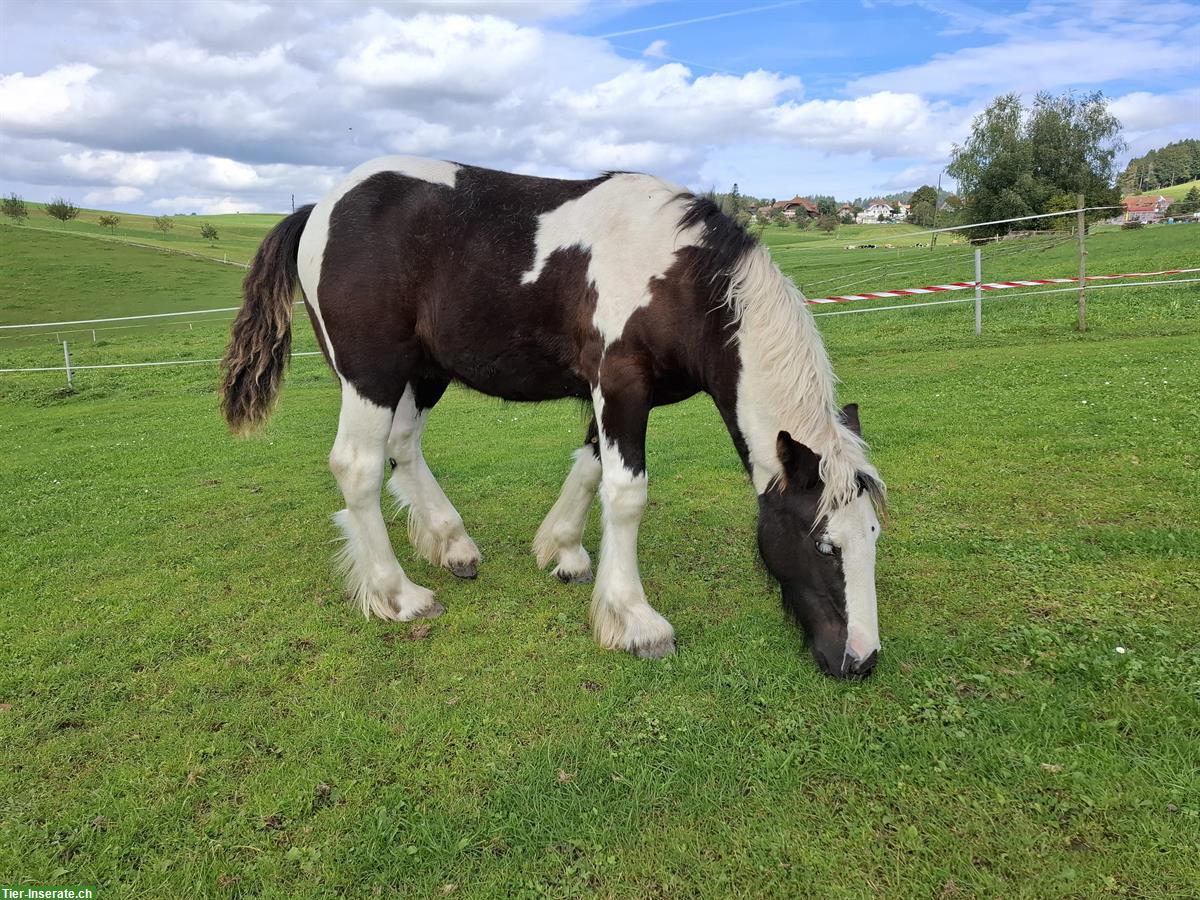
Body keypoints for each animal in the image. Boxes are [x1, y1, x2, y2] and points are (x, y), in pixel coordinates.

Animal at [220, 157, 888, 676]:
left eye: (874, 535)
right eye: (824, 545)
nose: (861, 660)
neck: (679, 278)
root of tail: (319, 207)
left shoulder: (613, 396)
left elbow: (590, 469)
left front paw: (562, 550)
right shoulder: (621, 386)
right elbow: (626, 494)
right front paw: (635, 620)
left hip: (422, 373)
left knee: (403, 447)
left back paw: (451, 543)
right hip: (372, 375)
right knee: (357, 466)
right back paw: (399, 594)